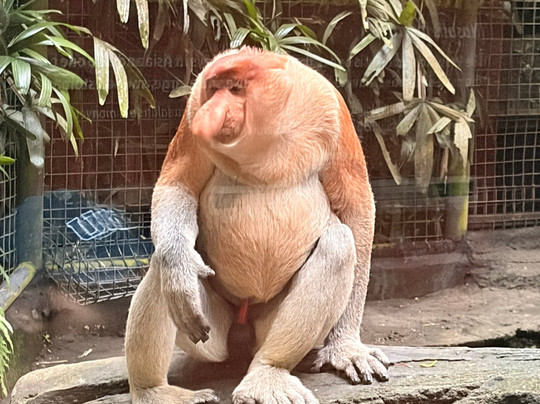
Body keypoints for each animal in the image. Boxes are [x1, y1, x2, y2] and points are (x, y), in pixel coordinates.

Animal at [125, 46, 389, 404]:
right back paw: (153, 390)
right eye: (215, 88)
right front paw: (179, 272)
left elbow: (355, 207)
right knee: (162, 265)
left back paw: (269, 372)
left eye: (235, 89)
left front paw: (346, 348)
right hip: (211, 331)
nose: (214, 112)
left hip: (265, 325)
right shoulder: (194, 108)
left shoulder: (331, 106)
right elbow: (177, 184)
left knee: (338, 243)